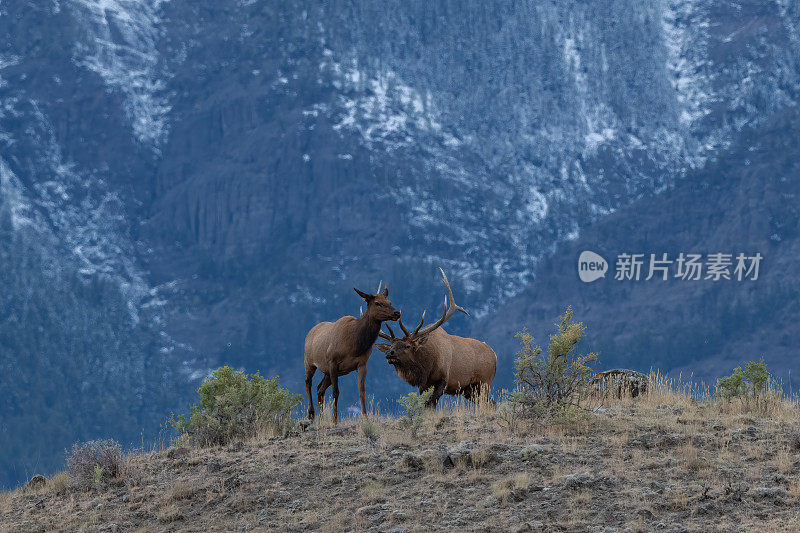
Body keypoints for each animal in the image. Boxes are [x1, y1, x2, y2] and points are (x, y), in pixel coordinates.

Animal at [304, 280, 400, 422]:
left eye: (389, 302)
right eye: (377, 303)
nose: (397, 313)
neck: (355, 345)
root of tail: (309, 332)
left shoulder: (361, 364)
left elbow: (362, 391)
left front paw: (365, 416)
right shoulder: (333, 362)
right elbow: (336, 392)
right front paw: (334, 419)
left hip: (327, 372)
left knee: (319, 388)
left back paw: (321, 418)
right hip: (309, 362)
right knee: (308, 383)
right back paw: (311, 413)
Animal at [378, 270, 496, 408]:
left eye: (408, 346)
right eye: (391, 345)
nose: (389, 353)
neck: (426, 367)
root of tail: (494, 355)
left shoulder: (443, 379)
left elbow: (430, 404)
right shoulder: (423, 386)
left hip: (484, 383)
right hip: (469, 390)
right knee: (491, 403)